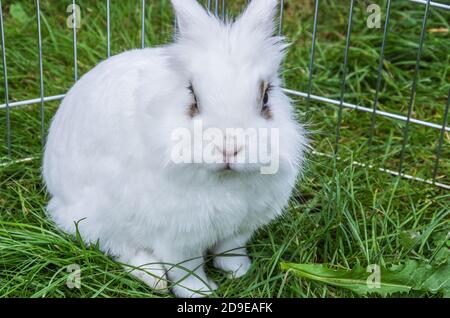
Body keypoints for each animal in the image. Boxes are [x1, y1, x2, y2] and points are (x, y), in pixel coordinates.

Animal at [44, 0, 308, 298]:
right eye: (193, 96)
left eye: (265, 97)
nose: (229, 148)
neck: (225, 180)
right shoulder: (177, 239)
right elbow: (185, 270)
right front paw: (201, 292)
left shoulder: (238, 229)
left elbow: (230, 251)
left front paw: (239, 271)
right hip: (97, 216)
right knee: (118, 247)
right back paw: (154, 277)